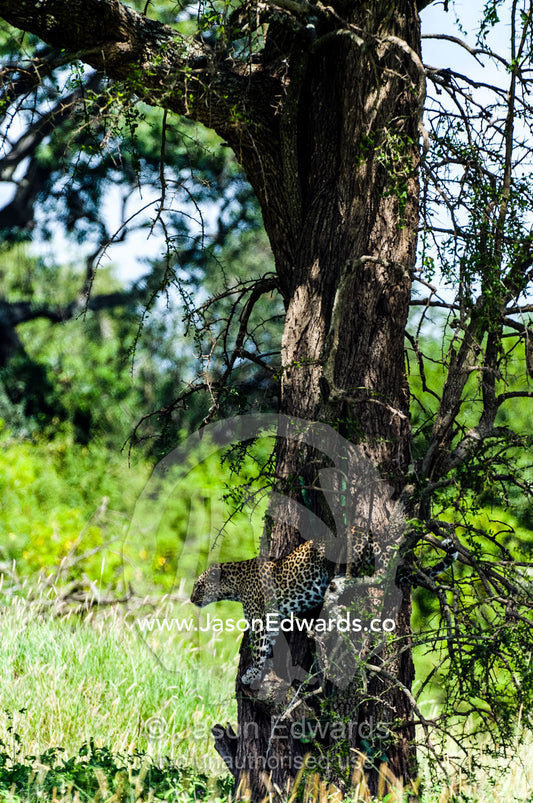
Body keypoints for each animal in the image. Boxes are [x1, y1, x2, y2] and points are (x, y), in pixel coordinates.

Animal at [190, 530, 457, 685]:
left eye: (198, 585)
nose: (191, 599)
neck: (235, 584)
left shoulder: (259, 620)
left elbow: (258, 648)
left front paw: (251, 674)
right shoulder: (271, 620)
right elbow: (266, 647)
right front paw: (259, 672)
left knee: (363, 572)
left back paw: (341, 580)